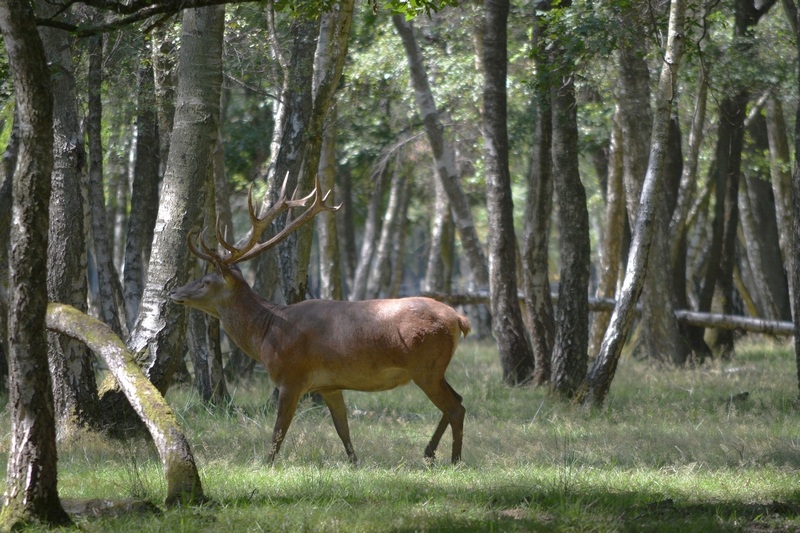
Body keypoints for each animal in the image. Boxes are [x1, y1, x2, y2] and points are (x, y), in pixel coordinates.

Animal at [170, 177, 468, 464]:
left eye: (206, 281)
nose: (174, 292)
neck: (267, 334)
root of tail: (459, 318)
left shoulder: (291, 377)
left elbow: (279, 431)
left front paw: (266, 464)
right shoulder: (329, 385)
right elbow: (342, 429)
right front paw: (354, 462)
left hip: (426, 366)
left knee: (456, 407)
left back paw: (454, 459)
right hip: (434, 369)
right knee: (459, 399)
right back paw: (430, 453)